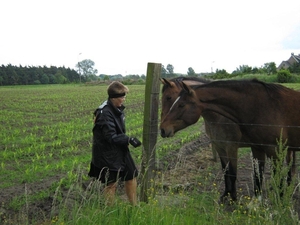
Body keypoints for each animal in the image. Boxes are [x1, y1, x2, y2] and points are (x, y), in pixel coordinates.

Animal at [161, 78, 296, 201]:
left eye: (168, 97)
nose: (162, 129)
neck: (218, 117)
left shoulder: (231, 147)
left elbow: (232, 172)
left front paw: (234, 197)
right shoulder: (219, 146)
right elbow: (225, 171)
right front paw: (226, 194)